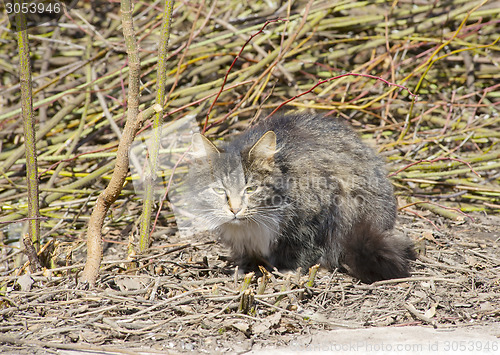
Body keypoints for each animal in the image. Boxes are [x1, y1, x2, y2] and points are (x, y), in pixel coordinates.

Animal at [186, 112, 416, 284]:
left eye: (251, 189)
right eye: (219, 190)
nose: (234, 209)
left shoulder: (315, 217)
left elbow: (302, 248)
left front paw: (289, 270)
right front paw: (245, 268)